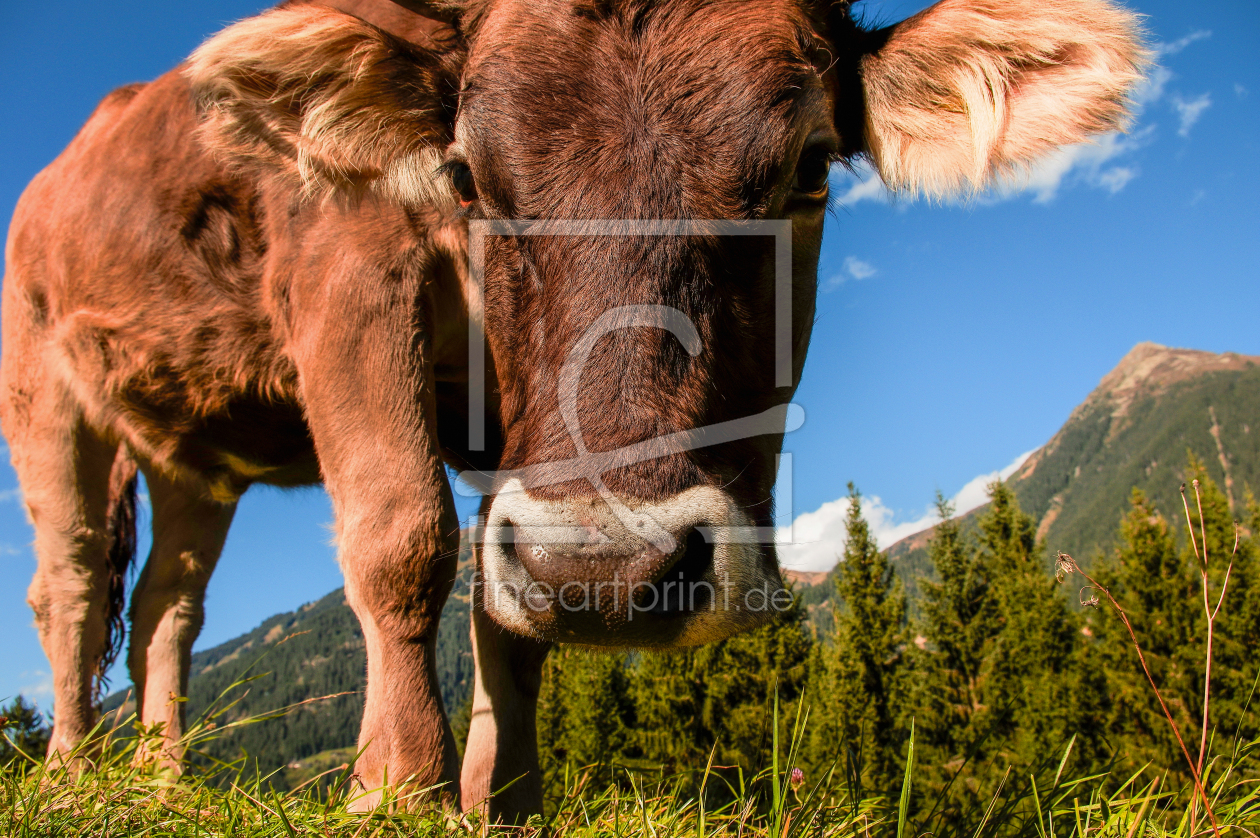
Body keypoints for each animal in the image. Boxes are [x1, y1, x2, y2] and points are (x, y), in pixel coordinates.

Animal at [0, 0, 1145, 820]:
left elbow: (505, 613)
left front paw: (507, 803)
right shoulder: (348, 274)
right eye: (467, 174)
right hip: (43, 389)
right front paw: (397, 788)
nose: (618, 569)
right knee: (72, 589)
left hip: (198, 451)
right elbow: (403, 535)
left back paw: (162, 778)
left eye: (812, 169)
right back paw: (70, 774)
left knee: (167, 606)